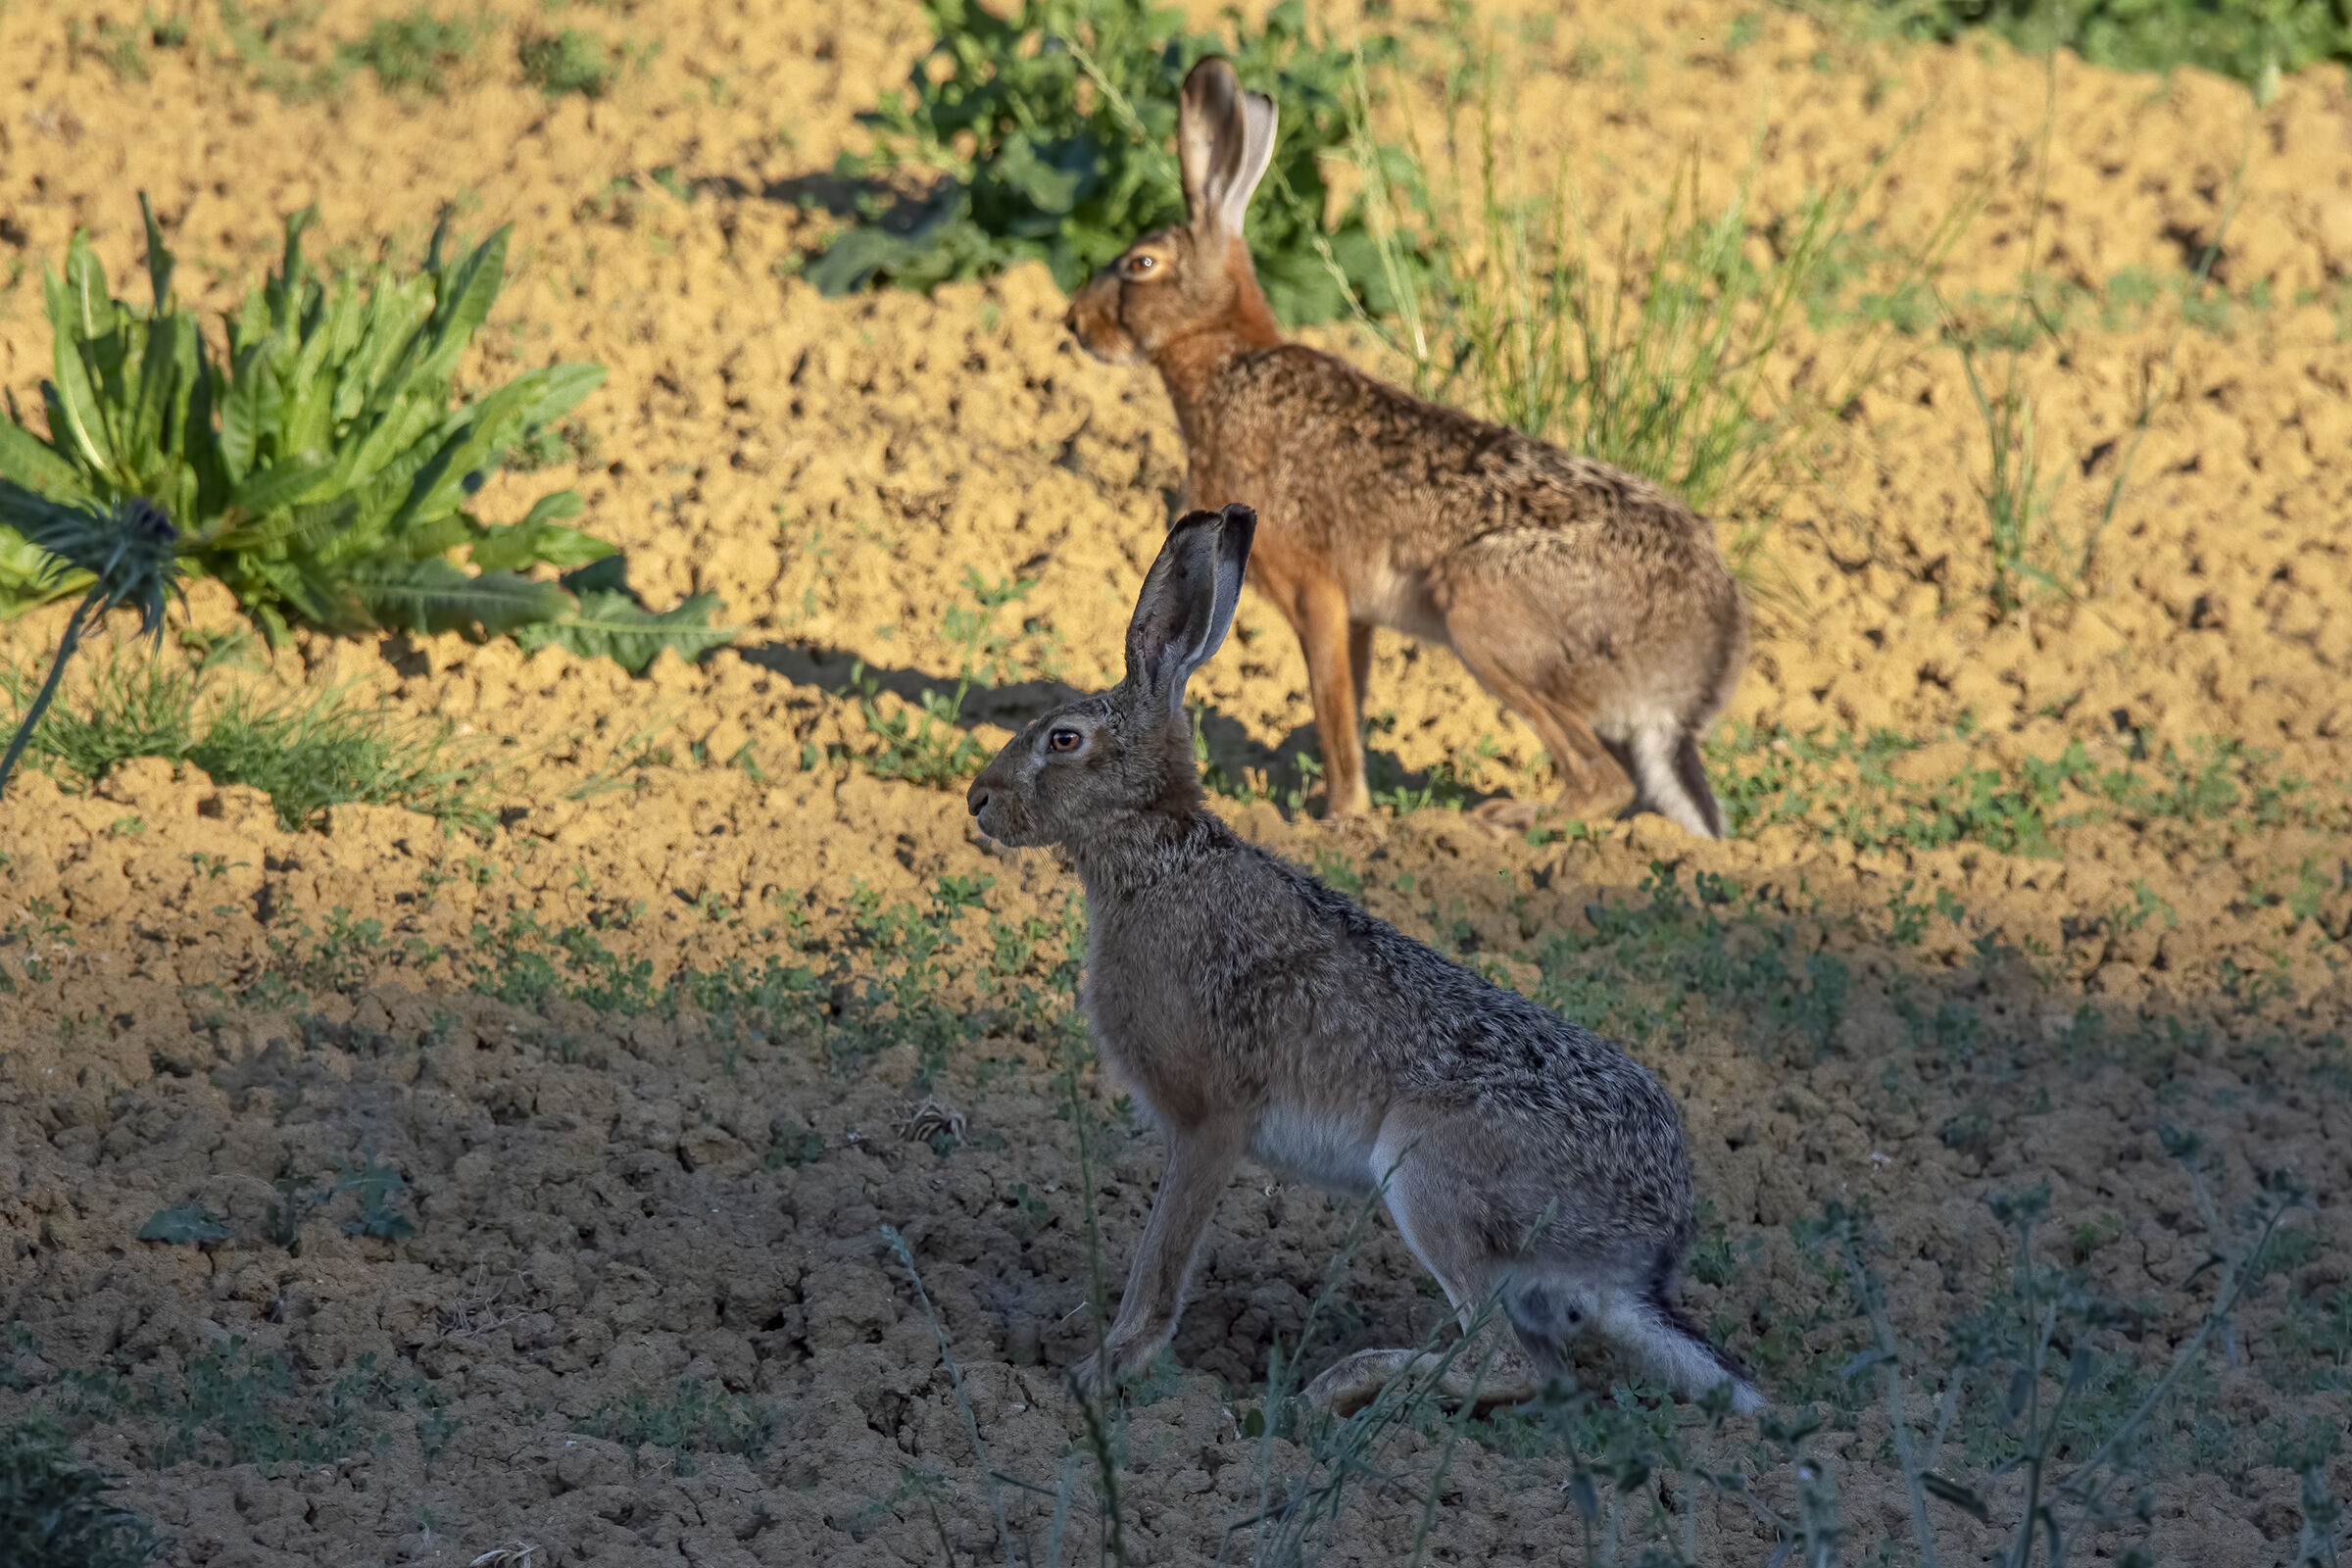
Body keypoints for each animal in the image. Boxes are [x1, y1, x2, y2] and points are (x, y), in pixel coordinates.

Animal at [965, 503, 1762, 1416]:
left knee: (1506, 1360)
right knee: (1542, 1370)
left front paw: (1101, 1373)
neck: (1160, 856)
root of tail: (1645, 1260)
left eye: (1064, 739)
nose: (978, 800)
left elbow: (1161, 1260)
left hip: (1426, 1173)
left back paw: (1333, 1390)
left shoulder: (1210, 1122)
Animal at [1064, 56, 1748, 838]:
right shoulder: (1357, 617)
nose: (1074, 322)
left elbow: (1332, 710)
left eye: (1141, 264)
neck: (1225, 356)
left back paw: (1502, 820)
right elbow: (1349, 706)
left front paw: (1341, 819)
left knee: (1599, 780)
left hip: (1483, 610)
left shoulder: (1317, 592)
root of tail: (1696, 674)